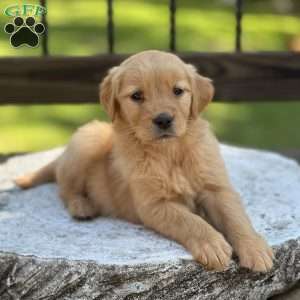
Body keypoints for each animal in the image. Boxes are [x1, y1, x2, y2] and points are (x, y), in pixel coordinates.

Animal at [16, 51, 274, 272]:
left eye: (178, 91)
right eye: (136, 96)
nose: (164, 120)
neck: (169, 152)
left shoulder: (216, 187)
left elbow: (236, 217)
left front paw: (255, 248)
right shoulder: (153, 205)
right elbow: (189, 221)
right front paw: (212, 243)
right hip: (87, 142)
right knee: (65, 188)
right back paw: (81, 206)